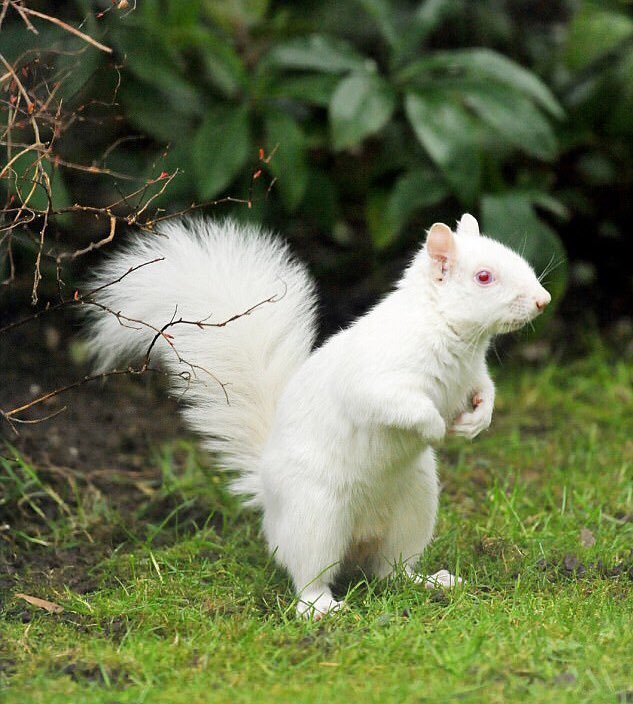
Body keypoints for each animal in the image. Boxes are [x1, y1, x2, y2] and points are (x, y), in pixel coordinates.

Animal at [84, 213, 551, 618]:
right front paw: (436, 428)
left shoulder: (474, 374)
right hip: (315, 518)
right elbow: (401, 405)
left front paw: (476, 422)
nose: (543, 301)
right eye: (484, 277)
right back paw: (321, 608)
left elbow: (485, 392)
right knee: (311, 576)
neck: (453, 336)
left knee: (391, 570)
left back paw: (429, 582)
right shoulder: (378, 379)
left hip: (414, 510)